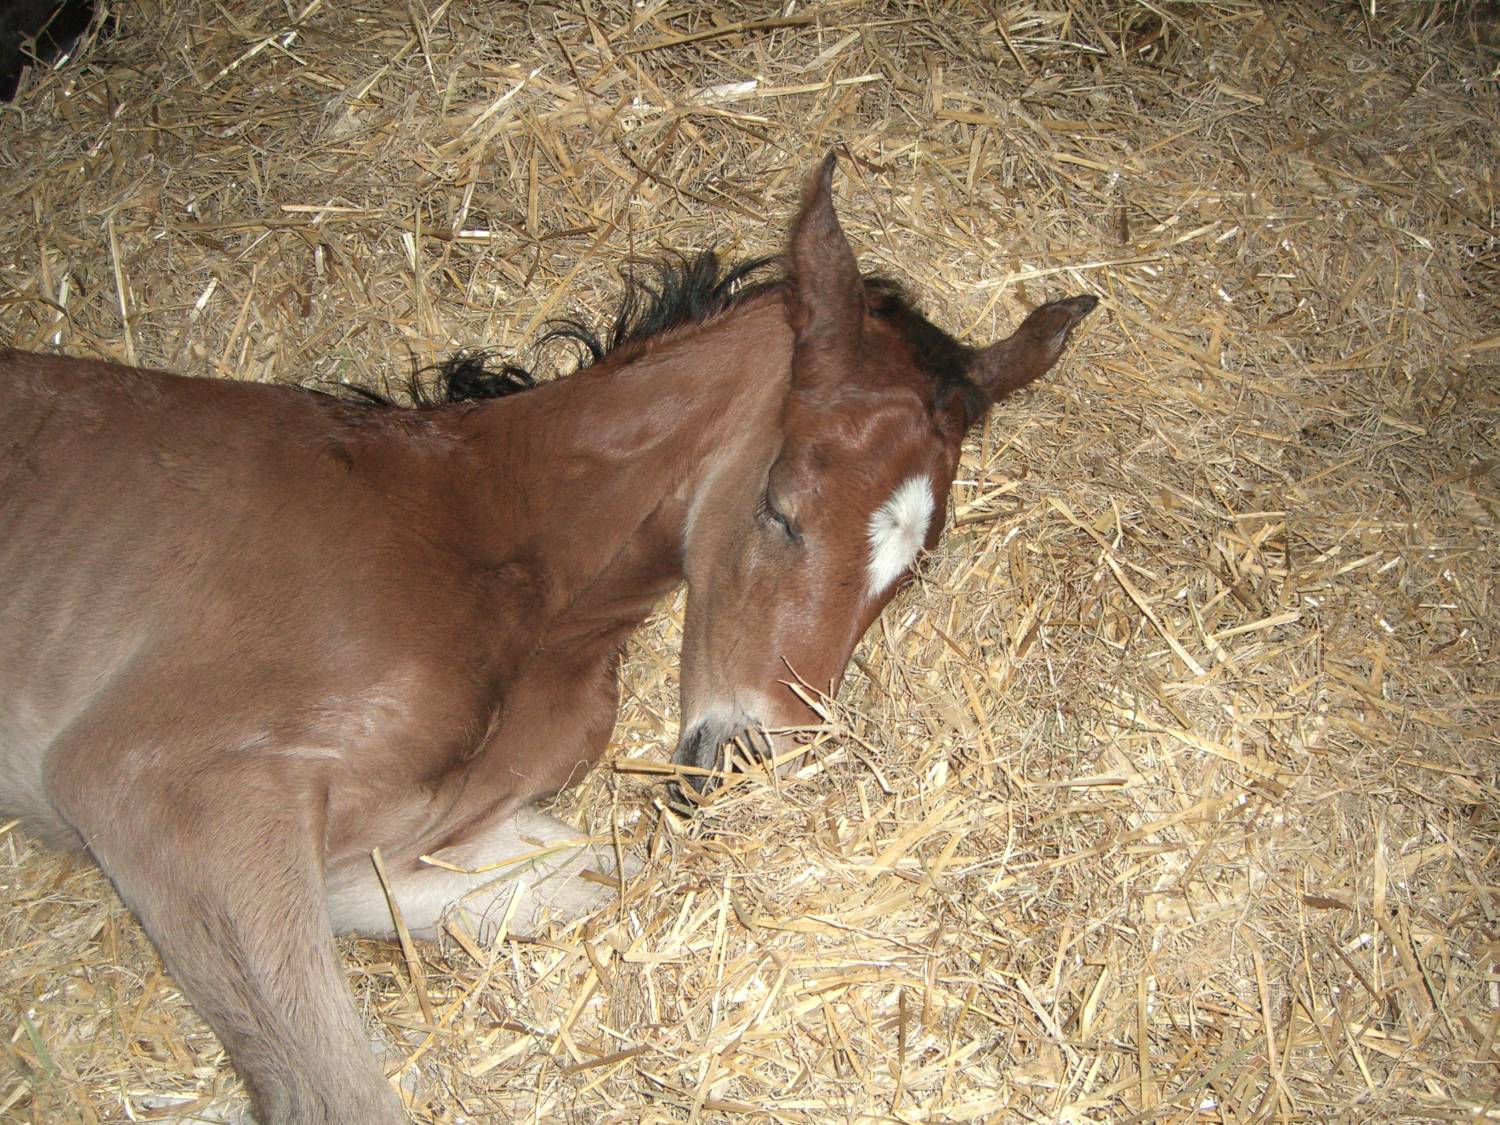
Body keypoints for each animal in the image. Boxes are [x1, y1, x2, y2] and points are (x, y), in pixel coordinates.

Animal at [0, 154, 1097, 1124]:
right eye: (780, 507)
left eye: (908, 573)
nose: (746, 758)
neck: (494, 534)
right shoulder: (160, 784)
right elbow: (335, 1093)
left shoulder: (384, 858)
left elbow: (614, 875)